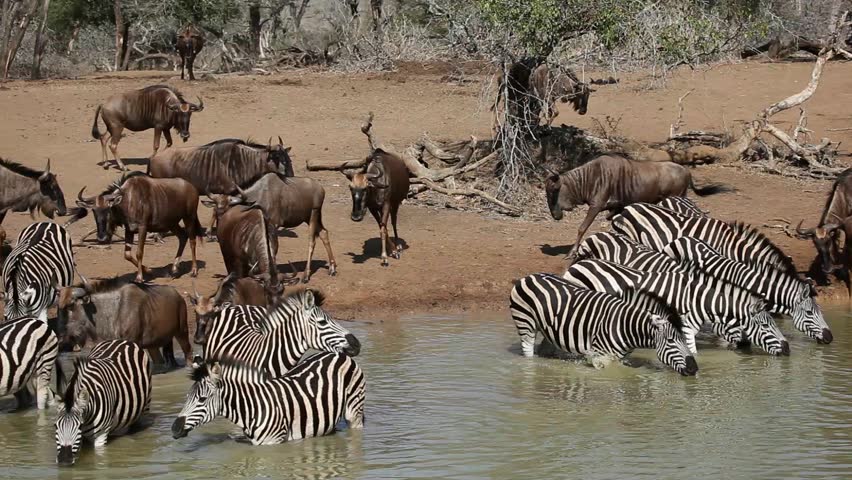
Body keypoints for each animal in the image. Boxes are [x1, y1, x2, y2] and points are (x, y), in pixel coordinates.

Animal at [171, 351, 365, 445]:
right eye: (187, 397)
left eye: (202, 399)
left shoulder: (273, 443)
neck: (251, 408)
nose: (174, 428)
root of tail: (339, 354)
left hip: (354, 411)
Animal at [509, 273, 698, 376]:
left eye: (685, 340)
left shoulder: (618, 357)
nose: (694, 369)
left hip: (549, 329)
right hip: (525, 324)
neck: (625, 325)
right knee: (528, 352)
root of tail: (529, 276)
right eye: (671, 341)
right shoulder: (600, 356)